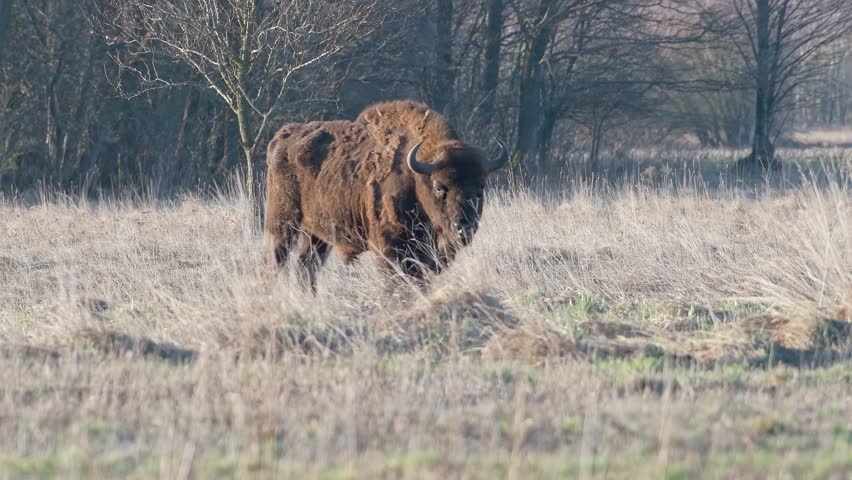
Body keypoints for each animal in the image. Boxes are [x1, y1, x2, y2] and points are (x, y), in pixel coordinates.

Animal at [264, 100, 508, 291]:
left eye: (480, 189)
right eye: (440, 187)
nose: (464, 227)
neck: (415, 178)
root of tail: (280, 137)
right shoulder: (388, 249)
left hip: (317, 233)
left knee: (306, 267)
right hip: (283, 224)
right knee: (278, 261)